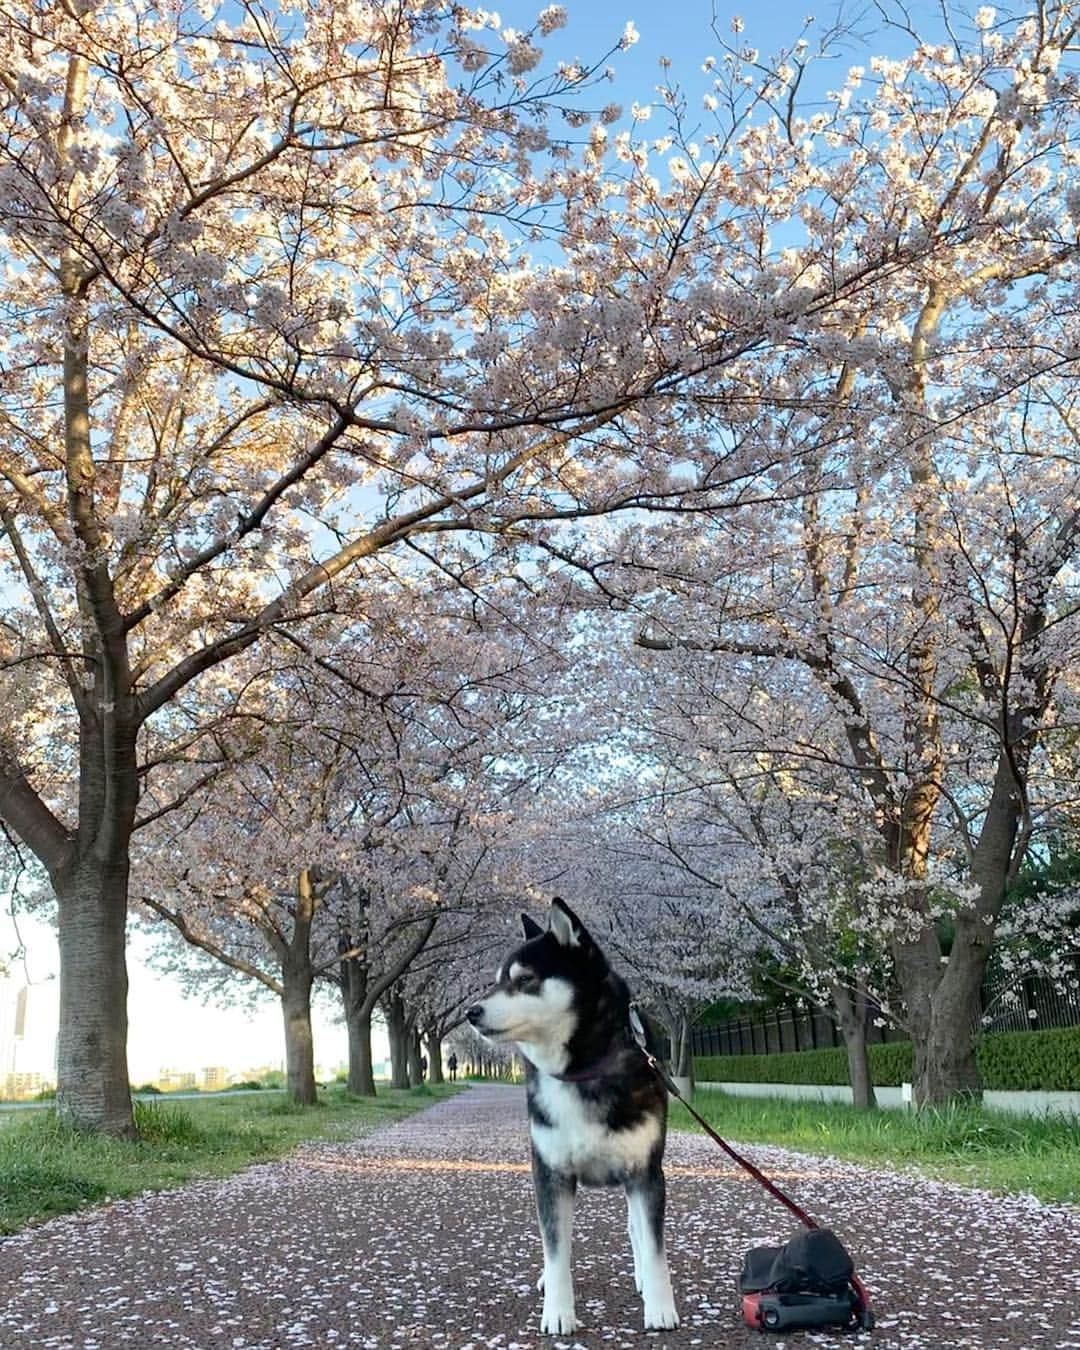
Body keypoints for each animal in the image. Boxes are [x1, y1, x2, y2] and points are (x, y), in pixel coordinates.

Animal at [467, 901, 680, 1333]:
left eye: (525, 980)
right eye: (497, 982)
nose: (471, 1012)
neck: (581, 1071)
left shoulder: (646, 1172)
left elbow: (653, 1247)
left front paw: (660, 1307)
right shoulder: (551, 1174)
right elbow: (556, 1248)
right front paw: (558, 1311)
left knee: (635, 1228)